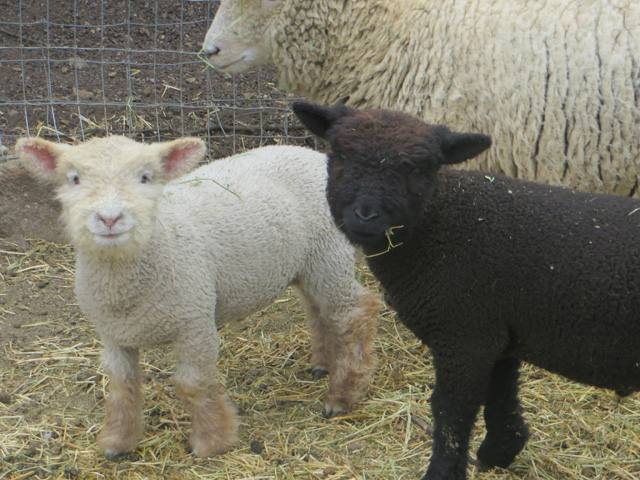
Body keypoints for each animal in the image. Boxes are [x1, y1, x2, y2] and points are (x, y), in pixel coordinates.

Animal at [16, 137, 380, 460]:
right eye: (73, 178)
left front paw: (211, 441)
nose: (110, 218)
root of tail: (314, 155)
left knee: (354, 313)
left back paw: (342, 393)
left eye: (145, 177)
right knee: (320, 312)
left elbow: (194, 385)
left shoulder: (195, 321)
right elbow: (122, 386)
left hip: (328, 252)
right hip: (308, 264)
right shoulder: (113, 336)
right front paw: (117, 441)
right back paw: (323, 364)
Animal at [294, 99, 640, 478]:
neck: (439, 225)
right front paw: (501, 450)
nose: (366, 216)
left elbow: (451, 410)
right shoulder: (498, 332)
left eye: (417, 167)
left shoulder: (464, 335)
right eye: (340, 153)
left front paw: (443, 471)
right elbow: (500, 394)